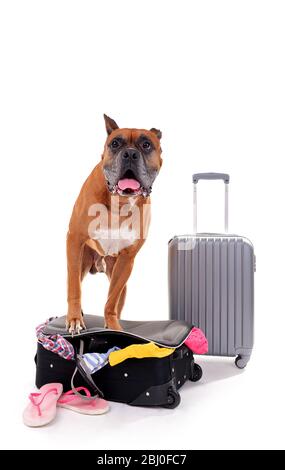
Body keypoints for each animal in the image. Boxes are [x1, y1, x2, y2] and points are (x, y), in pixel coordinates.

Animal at [65, 114, 161, 334]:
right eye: (115, 143)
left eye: (146, 144)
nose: (130, 154)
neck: (120, 203)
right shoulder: (74, 240)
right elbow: (74, 289)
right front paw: (74, 319)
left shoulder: (127, 260)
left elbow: (111, 299)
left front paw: (113, 326)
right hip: (82, 260)